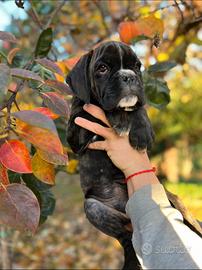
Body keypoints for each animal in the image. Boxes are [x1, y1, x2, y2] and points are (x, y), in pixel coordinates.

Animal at [66, 41, 155, 268]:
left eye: (137, 67)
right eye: (102, 68)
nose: (128, 76)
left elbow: (138, 108)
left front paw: (140, 130)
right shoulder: (74, 135)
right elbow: (91, 109)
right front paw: (117, 117)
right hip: (94, 207)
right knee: (125, 237)